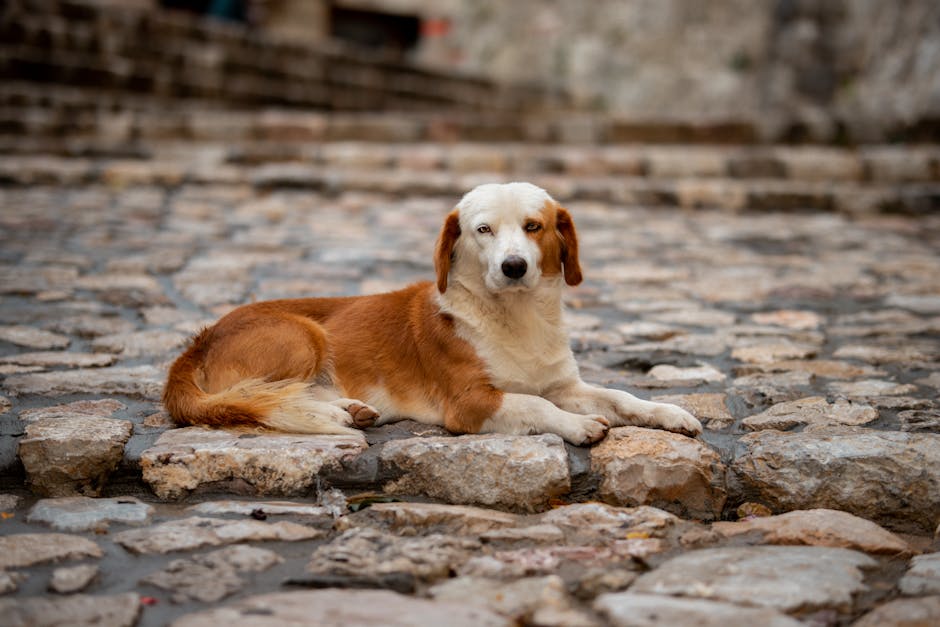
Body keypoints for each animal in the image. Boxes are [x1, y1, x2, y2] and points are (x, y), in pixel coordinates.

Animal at [165, 182, 700, 446]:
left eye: (533, 226)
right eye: (483, 230)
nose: (513, 266)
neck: (518, 317)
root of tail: (198, 341)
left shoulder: (564, 385)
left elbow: (620, 395)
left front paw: (671, 413)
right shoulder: (470, 403)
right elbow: (535, 407)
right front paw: (577, 427)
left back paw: (347, 410)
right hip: (303, 334)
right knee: (258, 396)